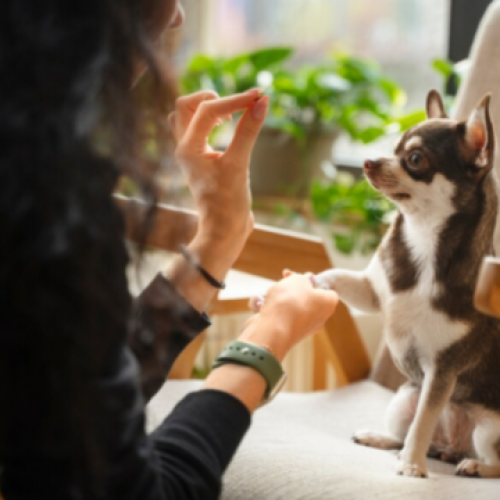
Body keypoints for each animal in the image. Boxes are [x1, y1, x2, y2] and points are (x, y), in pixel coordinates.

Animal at [314, 91, 500, 480]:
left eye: (415, 159)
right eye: (393, 148)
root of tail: (453, 446)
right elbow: (339, 276)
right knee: (409, 433)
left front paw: (412, 466)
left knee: (492, 461)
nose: (369, 161)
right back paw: (382, 438)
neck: (424, 240)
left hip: (489, 428)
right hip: (403, 399)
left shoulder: (441, 372)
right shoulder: (372, 291)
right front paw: (314, 281)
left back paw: (473, 465)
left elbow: (425, 420)